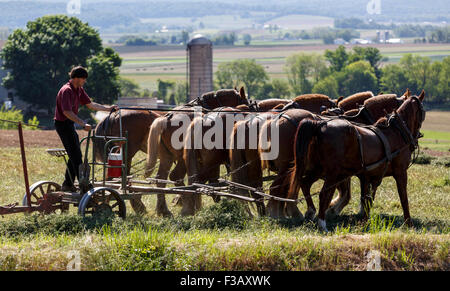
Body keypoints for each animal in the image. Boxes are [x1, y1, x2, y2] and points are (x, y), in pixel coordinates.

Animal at [144, 88, 250, 218]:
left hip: (167, 158)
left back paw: (165, 210)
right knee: (176, 176)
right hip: (182, 158)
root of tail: (164, 120)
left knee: (162, 179)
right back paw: (184, 202)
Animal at [288, 92, 426, 233]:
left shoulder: (369, 176)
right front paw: (409, 223)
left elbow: (367, 199)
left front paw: (364, 221)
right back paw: (322, 223)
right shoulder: (400, 173)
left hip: (318, 169)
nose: (416, 138)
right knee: (324, 194)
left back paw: (311, 212)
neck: (396, 133)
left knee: (305, 183)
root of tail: (319, 125)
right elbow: (403, 198)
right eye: (423, 111)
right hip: (332, 174)